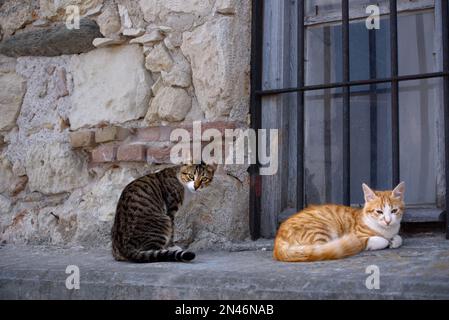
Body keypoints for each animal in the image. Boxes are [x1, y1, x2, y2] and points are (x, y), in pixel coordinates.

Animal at [272, 182, 406, 262]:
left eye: (394, 211)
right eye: (379, 211)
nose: (388, 221)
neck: (386, 230)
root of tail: (279, 238)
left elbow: (399, 238)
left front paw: (394, 241)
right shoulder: (358, 236)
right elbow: (380, 240)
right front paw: (385, 241)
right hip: (320, 229)